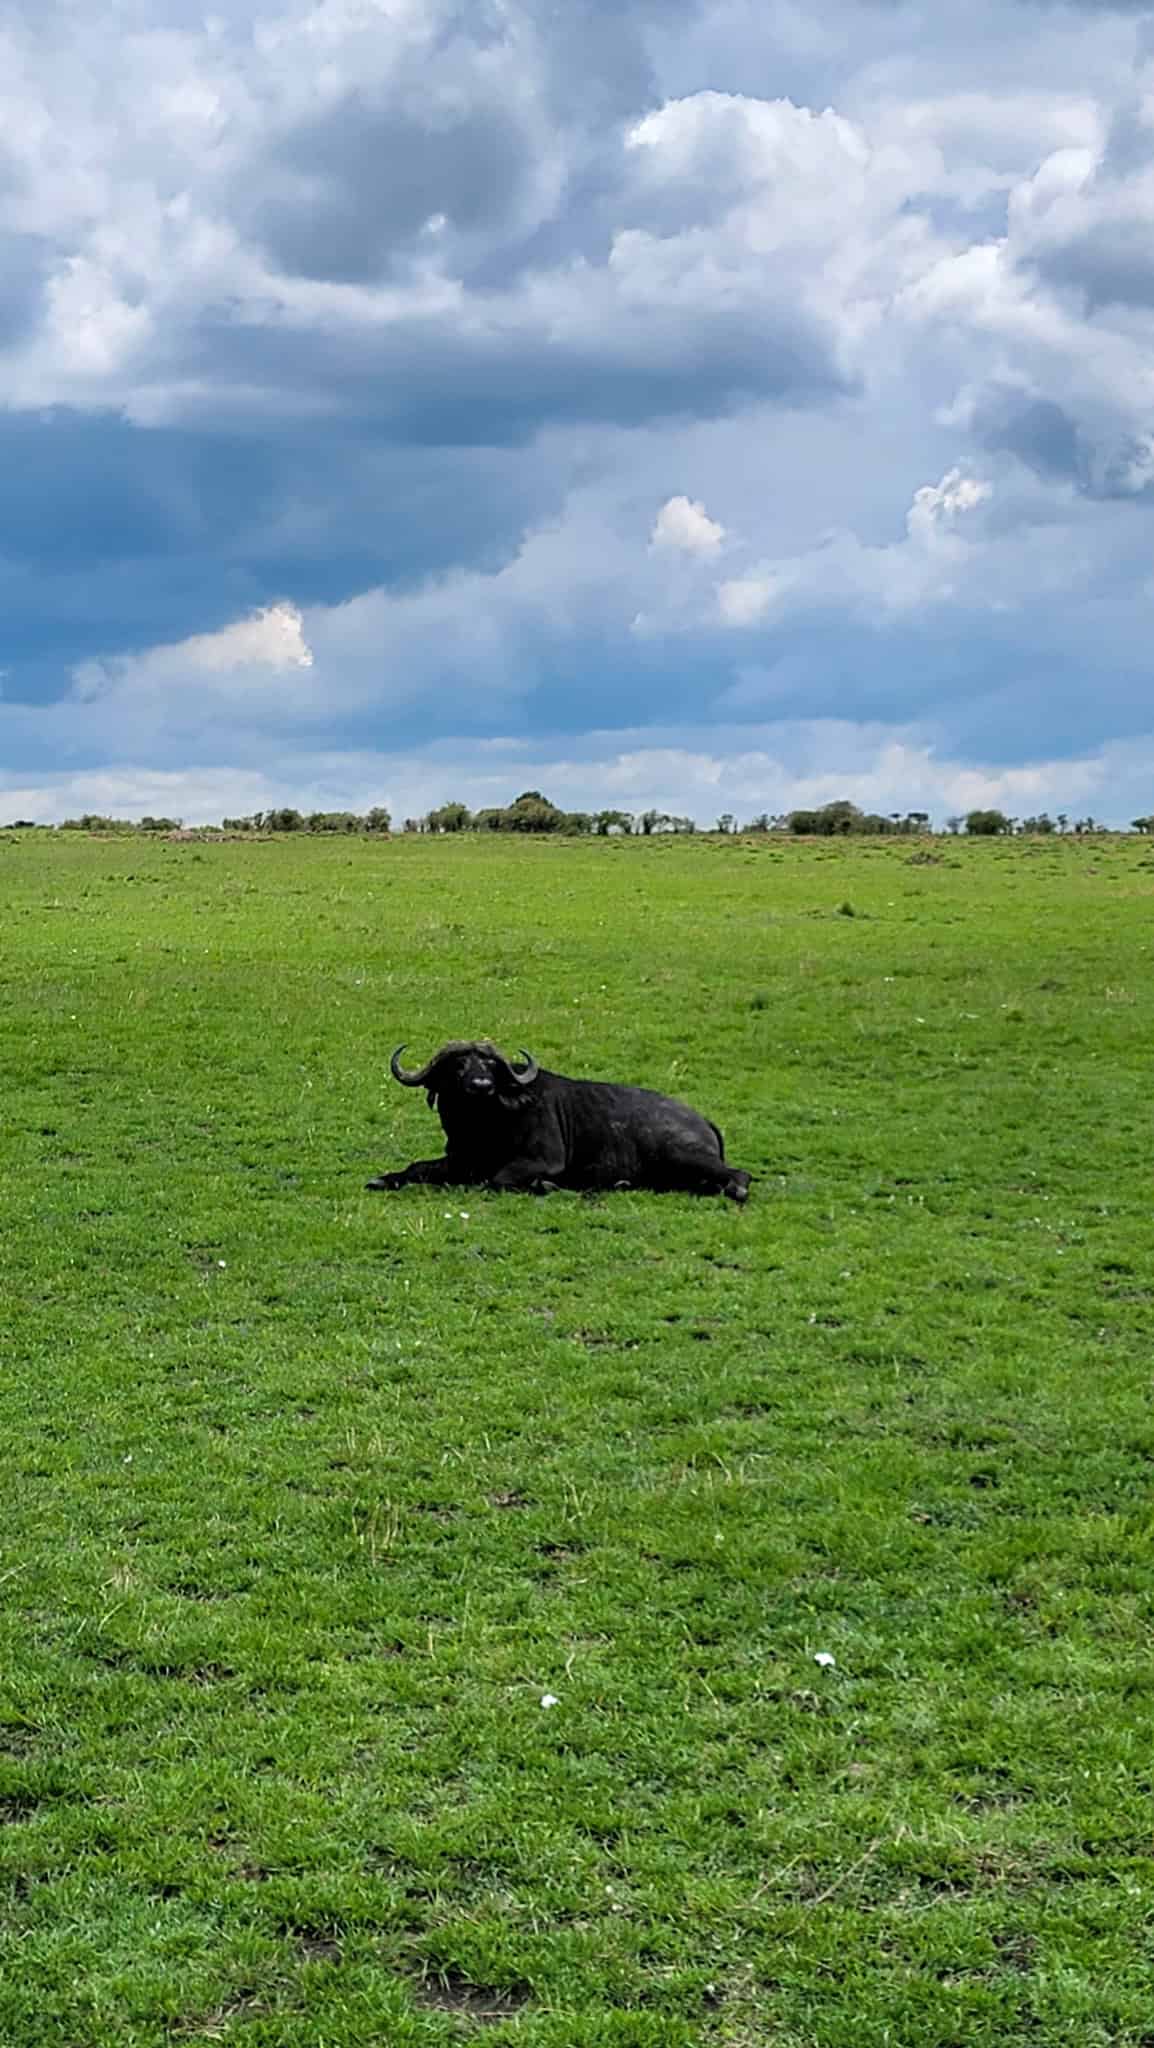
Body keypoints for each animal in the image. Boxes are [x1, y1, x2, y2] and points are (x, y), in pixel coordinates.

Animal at [364, 1040, 754, 1196]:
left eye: (489, 1065)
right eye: (459, 1064)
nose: (481, 1085)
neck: (484, 1126)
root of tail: (703, 1120)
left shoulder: (541, 1161)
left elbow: (497, 1180)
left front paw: (546, 1187)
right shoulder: (458, 1159)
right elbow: (417, 1168)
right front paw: (383, 1179)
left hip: (683, 1154)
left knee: (739, 1175)